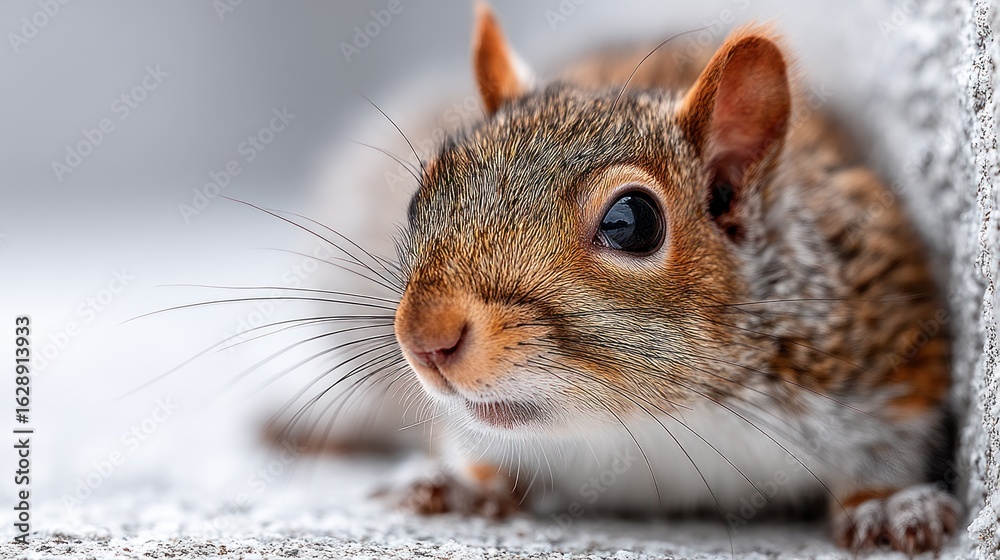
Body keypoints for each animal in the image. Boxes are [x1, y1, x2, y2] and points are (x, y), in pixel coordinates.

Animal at [277, 4, 960, 555]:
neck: (655, 418)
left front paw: (887, 505)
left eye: (632, 222)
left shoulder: (884, 348)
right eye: (421, 198)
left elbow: (890, 449)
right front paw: (457, 482)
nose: (425, 339)